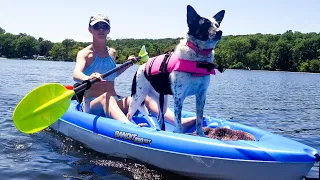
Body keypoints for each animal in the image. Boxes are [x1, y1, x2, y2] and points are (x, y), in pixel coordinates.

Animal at [127, 4, 225, 136]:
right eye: (205, 24)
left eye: (217, 24)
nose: (220, 31)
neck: (198, 58)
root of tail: (140, 67)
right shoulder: (179, 97)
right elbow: (178, 120)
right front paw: (178, 133)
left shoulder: (201, 95)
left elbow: (199, 119)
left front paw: (201, 134)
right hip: (138, 97)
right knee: (129, 115)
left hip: (161, 100)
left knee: (160, 118)